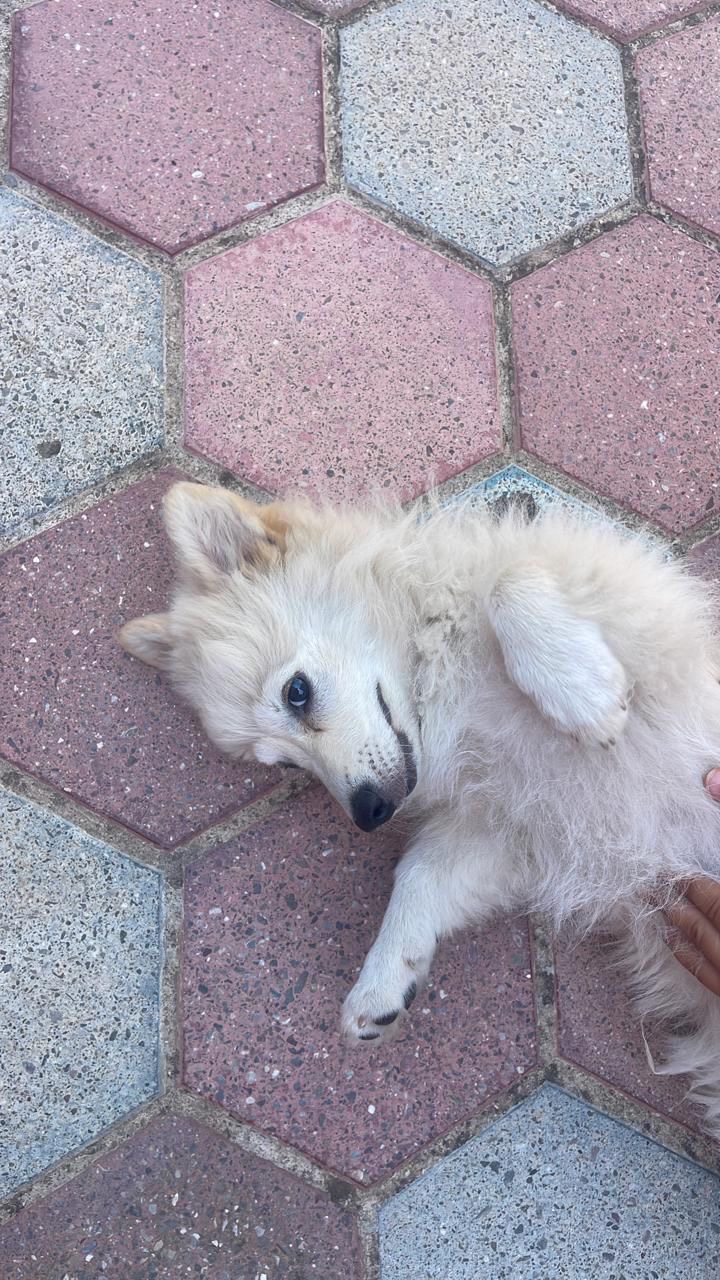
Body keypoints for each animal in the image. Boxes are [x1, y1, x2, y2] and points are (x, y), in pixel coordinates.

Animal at [120, 481, 720, 1135]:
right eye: (284, 766)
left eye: (295, 692)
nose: (368, 812)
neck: (444, 686)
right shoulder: (505, 828)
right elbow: (419, 878)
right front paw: (384, 980)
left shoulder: (645, 629)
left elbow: (510, 580)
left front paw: (583, 697)